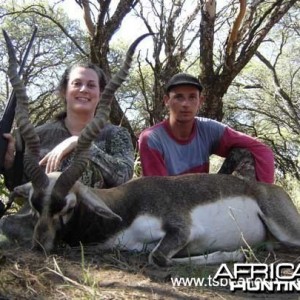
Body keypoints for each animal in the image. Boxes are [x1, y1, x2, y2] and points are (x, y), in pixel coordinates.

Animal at [2, 31, 300, 268]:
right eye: (34, 204)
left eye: (68, 206)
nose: (40, 244)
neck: (124, 212)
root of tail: (269, 189)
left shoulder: (182, 229)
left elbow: (157, 257)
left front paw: (236, 254)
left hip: (286, 229)